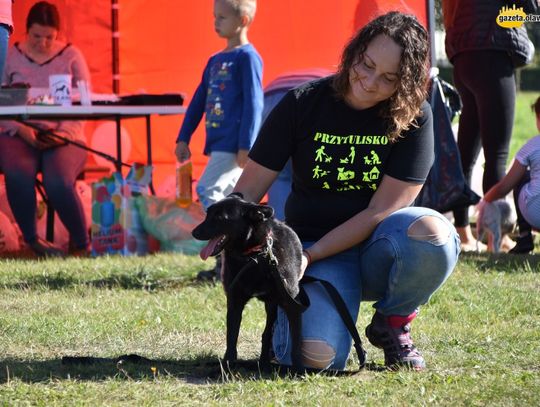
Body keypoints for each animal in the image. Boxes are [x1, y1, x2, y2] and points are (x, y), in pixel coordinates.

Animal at [192, 196, 306, 372]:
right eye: (207, 213)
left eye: (220, 218)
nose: (194, 232)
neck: (254, 256)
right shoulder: (234, 300)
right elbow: (232, 337)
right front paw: (227, 367)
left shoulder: (291, 303)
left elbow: (295, 341)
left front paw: (298, 368)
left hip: (273, 304)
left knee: (267, 333)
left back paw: (265, 363)